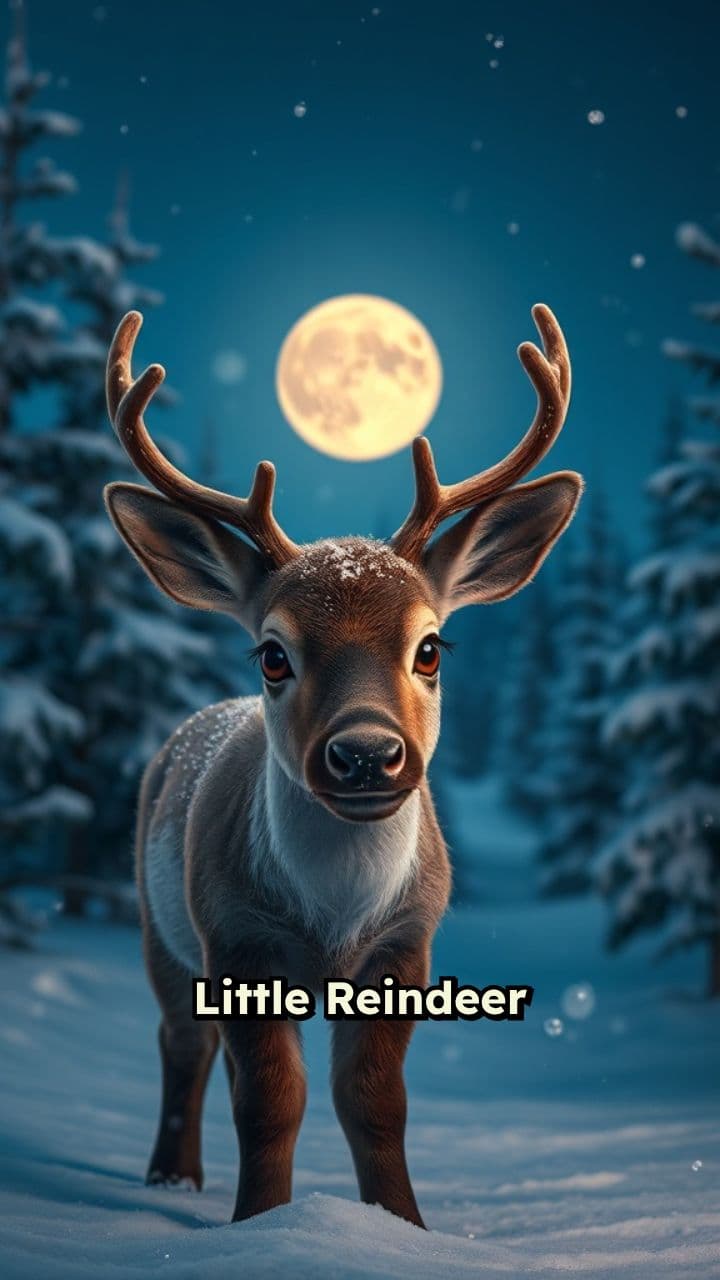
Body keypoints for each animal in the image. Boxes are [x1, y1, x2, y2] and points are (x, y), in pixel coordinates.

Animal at [104, 303, 580, 1231]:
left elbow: (373, 1101)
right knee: (182, 1041)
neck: (335, 919)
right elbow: (270, 1101)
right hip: (157, 922)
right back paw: (173, 1179)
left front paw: (404, 1225)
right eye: (272, 653)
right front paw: (259, 1223)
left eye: (432, 647)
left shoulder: (406, 944)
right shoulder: (236, 936)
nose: (365, 754)